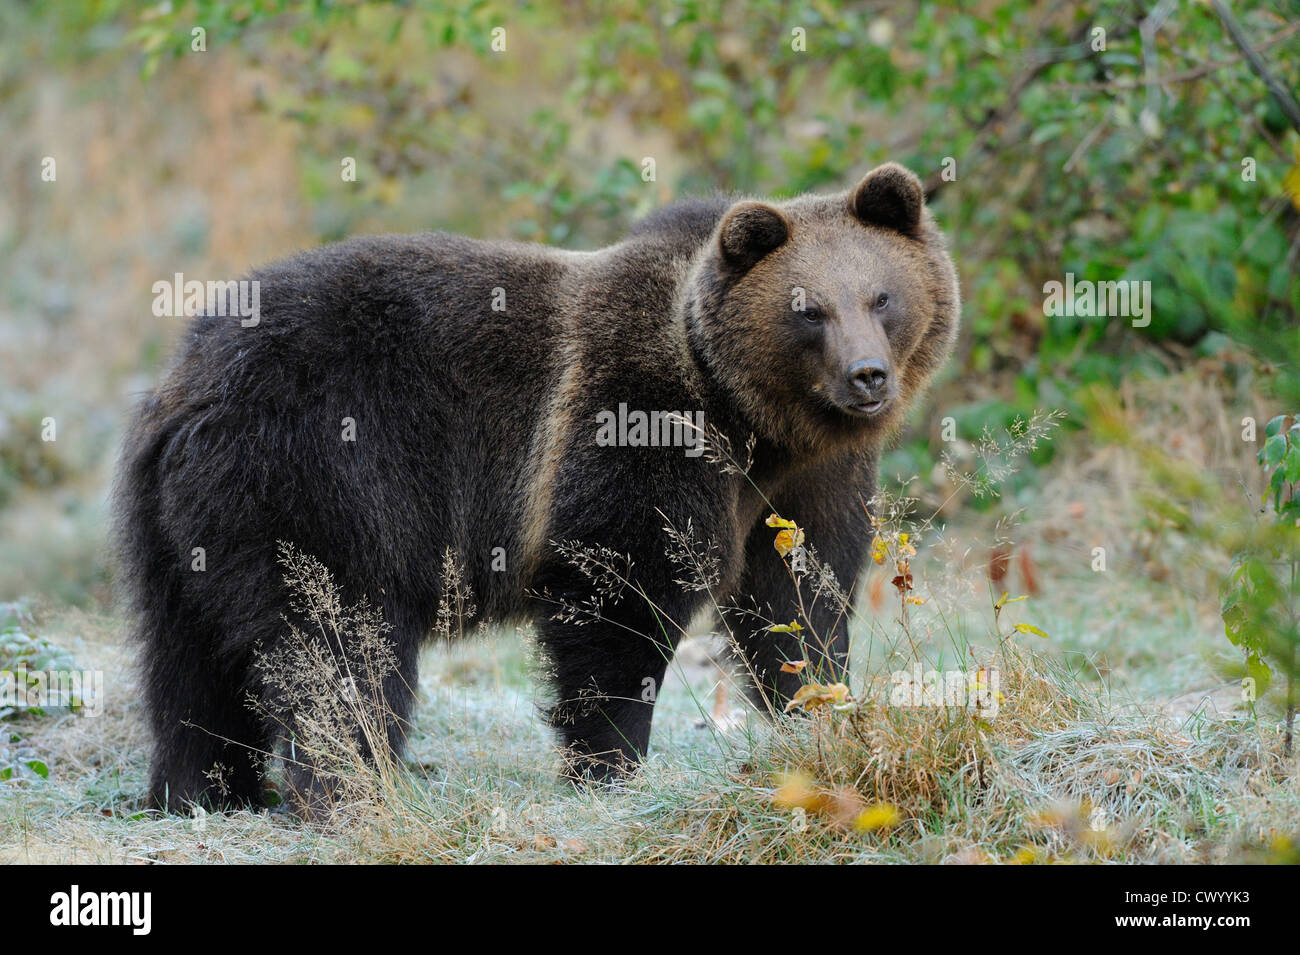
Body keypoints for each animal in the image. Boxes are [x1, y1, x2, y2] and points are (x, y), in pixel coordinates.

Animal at [112, 162, 959, 812]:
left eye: (881, 296)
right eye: (807, 308)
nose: (867, 376)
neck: (751, 417)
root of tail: (186, 382)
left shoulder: (805, 478)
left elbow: (799, 592)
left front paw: (816, 707)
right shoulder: (631, 427)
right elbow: (618, 595)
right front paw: (607, 764)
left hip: (182, 527)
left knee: (189, 660)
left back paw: (202, 788)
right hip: (322, 474)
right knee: (341, 638)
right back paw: (354, 785)